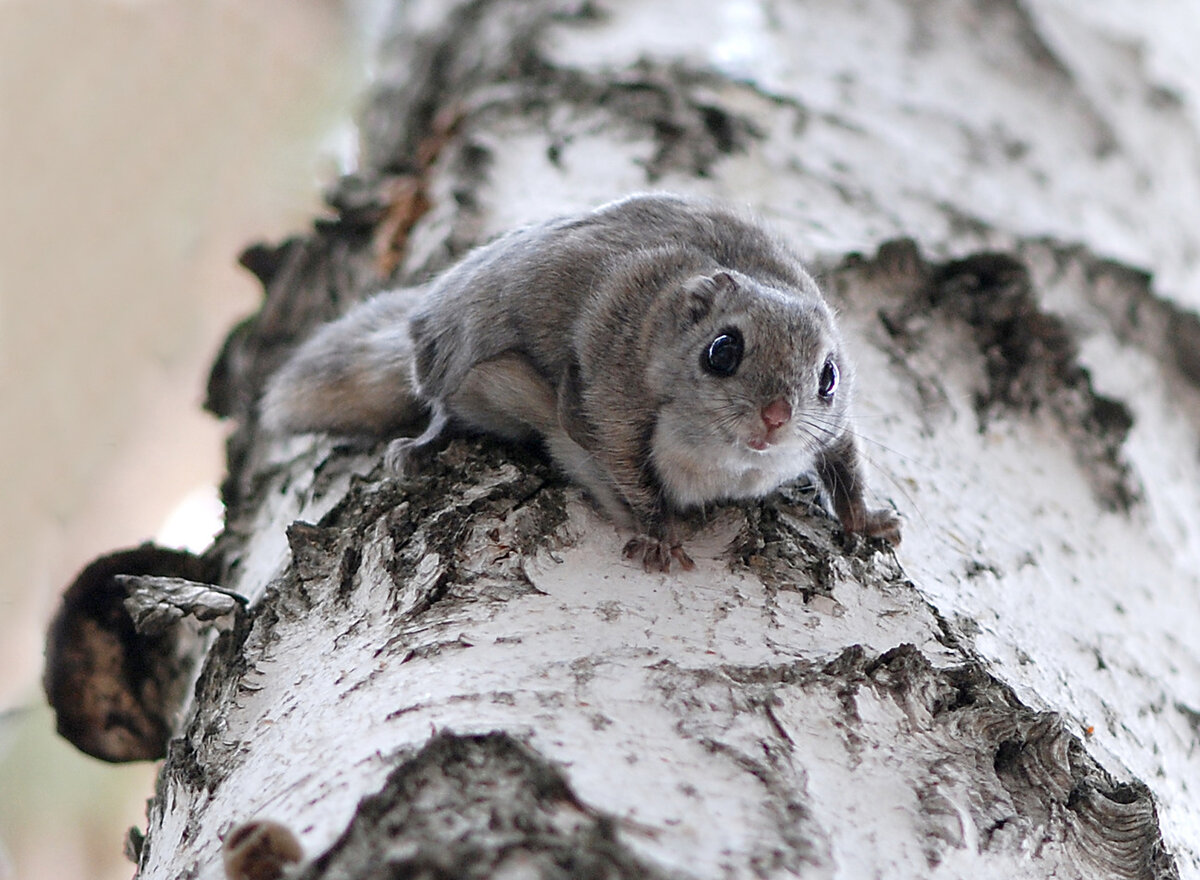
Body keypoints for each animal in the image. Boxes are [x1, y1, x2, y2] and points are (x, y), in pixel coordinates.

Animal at [262, 194, 902, 569]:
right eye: (722, 351)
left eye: (829, 376)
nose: (776, 416)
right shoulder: (609, 402)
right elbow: (631, 478)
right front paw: (659, 536)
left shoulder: (836, 430)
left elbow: (846, 464)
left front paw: (865, 519)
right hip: (458, 359)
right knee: (442, 401)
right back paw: (422, 445)